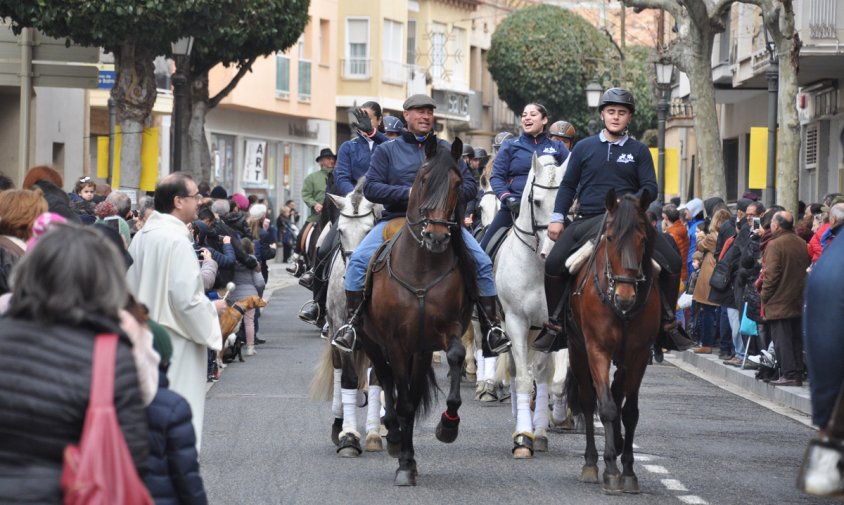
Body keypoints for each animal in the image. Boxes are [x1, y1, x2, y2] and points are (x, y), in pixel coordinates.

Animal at [308, 181, 384, 456]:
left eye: (369, 230)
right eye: (340, 231)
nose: (353, 277)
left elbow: (378, 379)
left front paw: (374, 434)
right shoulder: (342, 329)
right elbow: (349, 379)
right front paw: (348, 437)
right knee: (340, 372)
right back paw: (339, 423)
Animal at [356, 133, 474, 484]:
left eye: (457, 183)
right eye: (422, 180)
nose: (436, 236)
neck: (421, 265)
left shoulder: (442, 332)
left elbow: (455, 357)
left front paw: (448, 424)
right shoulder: (395, 341)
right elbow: (404, 400)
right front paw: (404, 461)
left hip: (419, 350)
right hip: (372, 341)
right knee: (386, 379)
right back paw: (395, 437)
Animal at [564, 189, 664, 492]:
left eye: (643, 239)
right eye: (609, 238)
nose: (625, 297)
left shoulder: (639, 355)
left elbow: (629, 411)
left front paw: (628, 470)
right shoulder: (596, 349)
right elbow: (606, 407)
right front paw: (610, 468)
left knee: (617, 392)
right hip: (577, 350)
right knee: (589, 400)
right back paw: (591, 463)